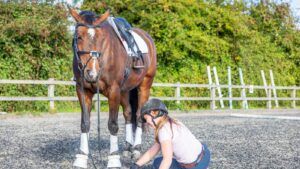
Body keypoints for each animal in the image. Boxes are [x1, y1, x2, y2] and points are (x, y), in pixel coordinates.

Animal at [68, 7, 157, 168]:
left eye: (101, 38)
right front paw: (81, 158)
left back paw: (136, 149)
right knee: (128, 113)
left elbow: (113, 124)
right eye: (78, 37)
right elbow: (85, 123)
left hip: (144, 86)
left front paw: (114, 159)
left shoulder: (113, 90)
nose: (91, 73)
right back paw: (128, 148)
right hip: (125, 90)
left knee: (138, 115)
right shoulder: (82, 90)